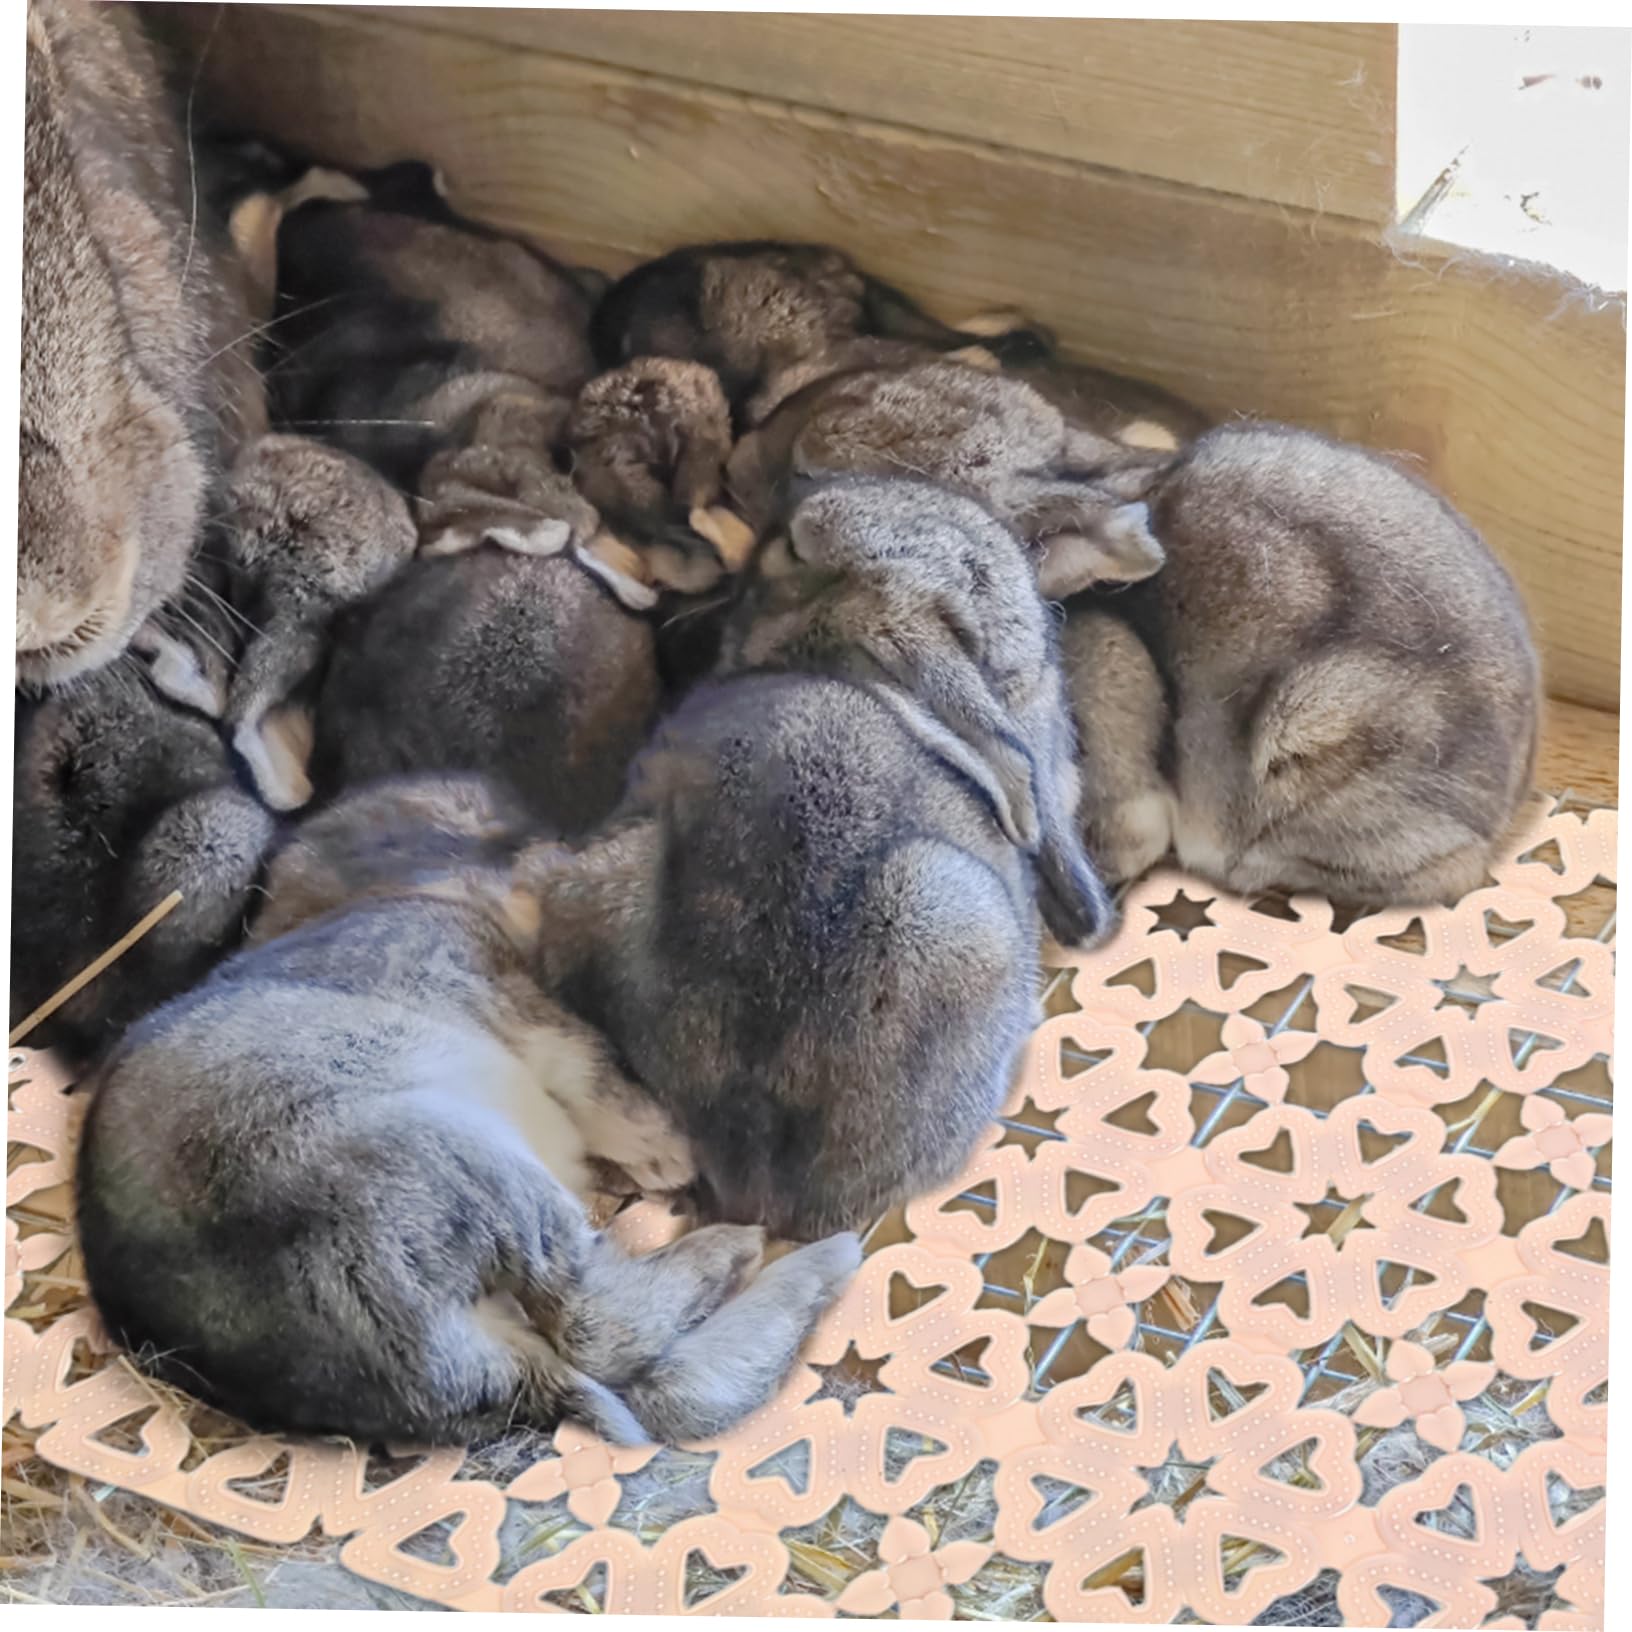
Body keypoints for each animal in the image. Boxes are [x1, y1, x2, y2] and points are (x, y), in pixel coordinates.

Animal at [75, 810, 862, 1448]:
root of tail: (434, 1363)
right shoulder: (523, 1008)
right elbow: (597, 1079)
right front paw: (668, 1153)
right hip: (466, 1158)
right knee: (597, 1322)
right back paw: (766, 1250)